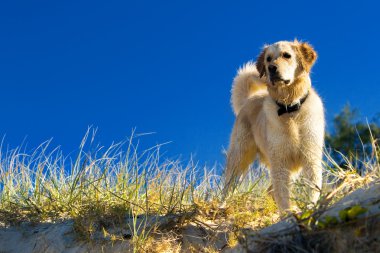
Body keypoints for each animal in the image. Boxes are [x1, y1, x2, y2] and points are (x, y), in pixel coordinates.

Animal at [224, 40, 326, 211]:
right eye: (268, 59)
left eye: (287, 55)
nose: (271, 68)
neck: (289, 109)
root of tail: (249, 99)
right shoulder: (280, 162)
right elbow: (283, 195)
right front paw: (288, 214)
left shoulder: (311, 158)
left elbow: (312, 189)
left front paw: (308, 209)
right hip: (239, 157)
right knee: (228, 187)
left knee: (270, 190)